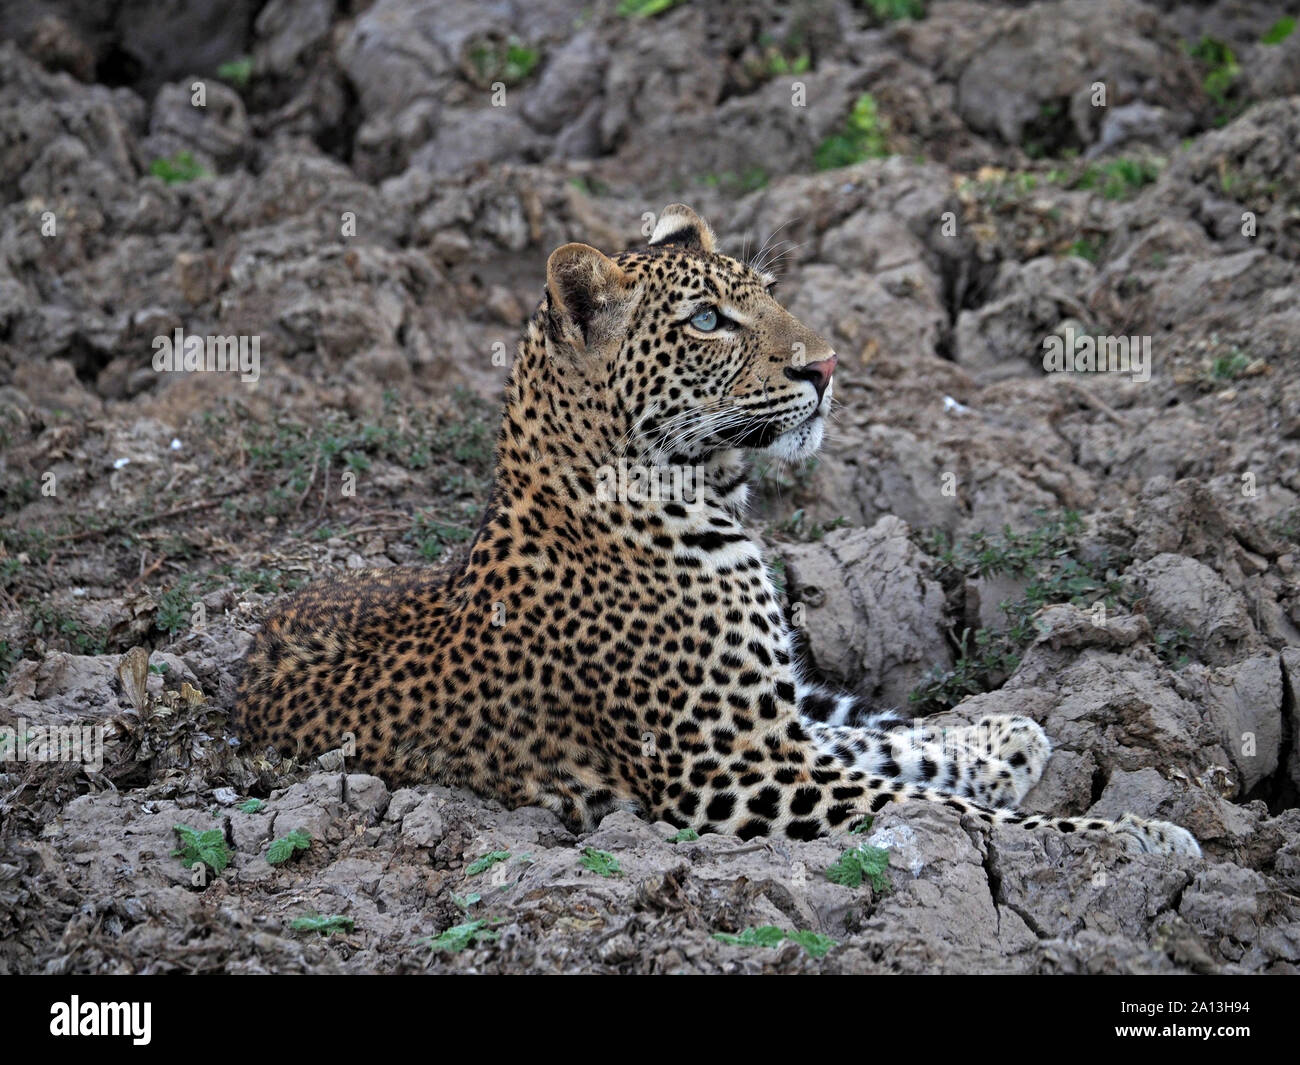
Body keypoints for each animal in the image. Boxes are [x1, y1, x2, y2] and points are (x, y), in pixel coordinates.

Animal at [234, 203, 1201, 858]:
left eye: (769, 294)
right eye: (705, 322)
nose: (827, 365)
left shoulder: (771, 726)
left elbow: (887, 741)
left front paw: (1003, 741)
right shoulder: (726, 769)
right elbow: (925, 804)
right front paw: (1125, 838)